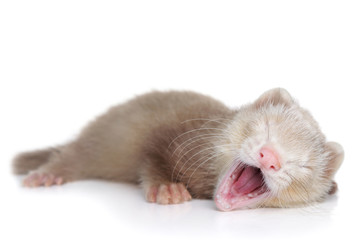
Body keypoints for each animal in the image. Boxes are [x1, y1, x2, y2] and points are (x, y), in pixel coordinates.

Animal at [11, 88, 344, 210]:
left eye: (303, 164)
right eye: (267, 126)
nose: (270, 157)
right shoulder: (164, 138)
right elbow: (152, 160)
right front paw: (167, 188)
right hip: (99, 144)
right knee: (70, 156)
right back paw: (46, 175)